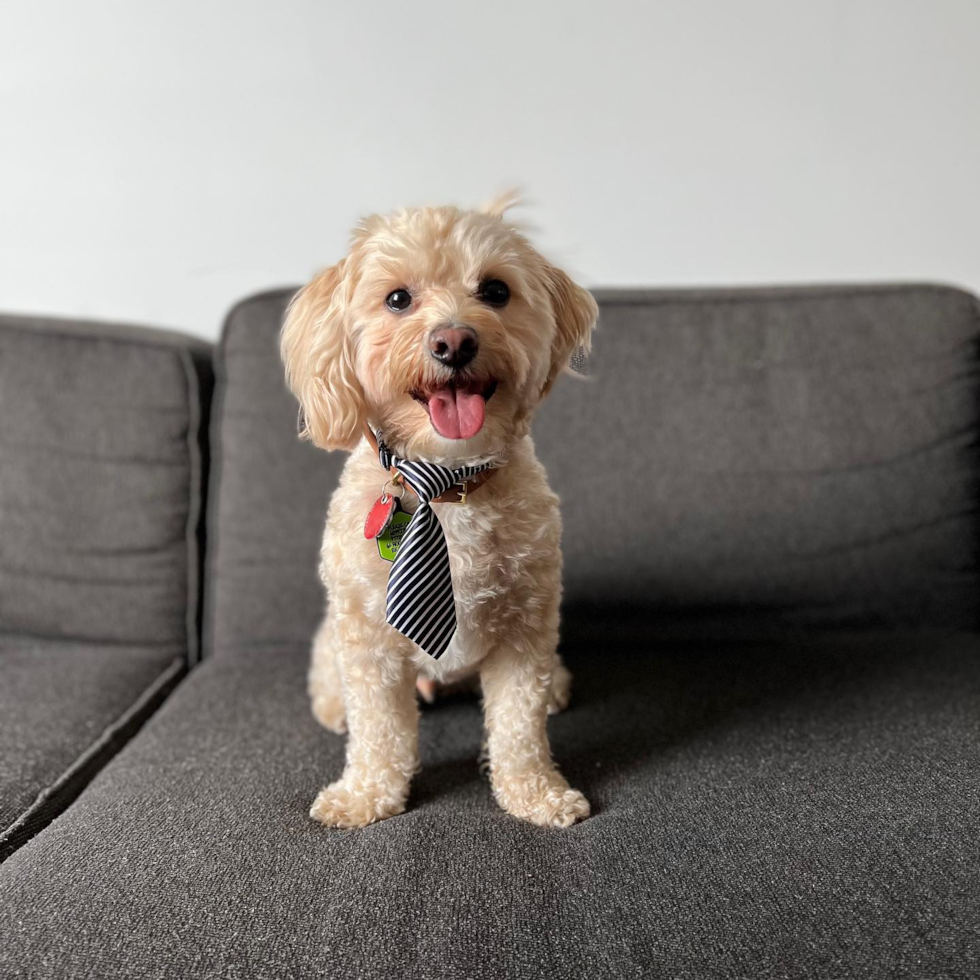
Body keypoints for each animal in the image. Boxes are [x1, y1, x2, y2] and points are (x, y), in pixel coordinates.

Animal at [280, 195, 592, 832]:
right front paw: (365, 796)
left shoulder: (525, 629)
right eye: (398, 299)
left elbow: (519, 727)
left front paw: (536, 793)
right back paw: (334, 706)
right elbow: (380, 731)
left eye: (495, 291)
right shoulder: (369, 640)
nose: (454, 341)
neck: (446, 482)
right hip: (336, 633)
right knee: (330, 678)